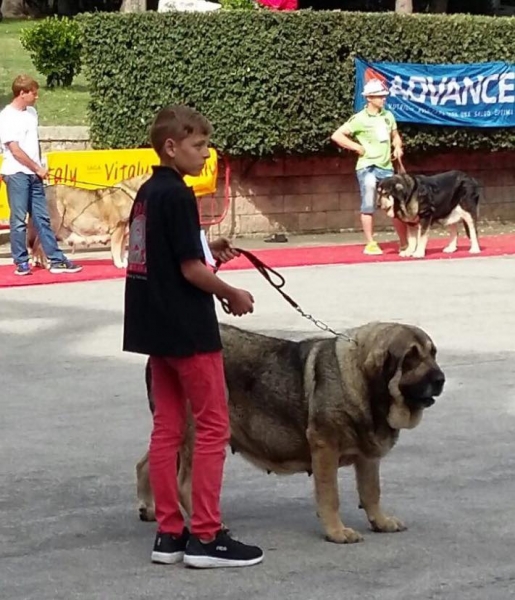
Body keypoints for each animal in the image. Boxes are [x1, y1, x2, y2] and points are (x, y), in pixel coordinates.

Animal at [137, 324, 448, 544]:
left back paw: (149, 508)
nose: (441, 379)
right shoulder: (325, 446)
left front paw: (380, 522)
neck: (362, 381)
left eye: (432, 354)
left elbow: (372, 491)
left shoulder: (368, 457)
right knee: (183, 482)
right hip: (198, 431)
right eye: (410, 358)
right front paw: (337, 532)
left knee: (147, 463)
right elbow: (330, 495)